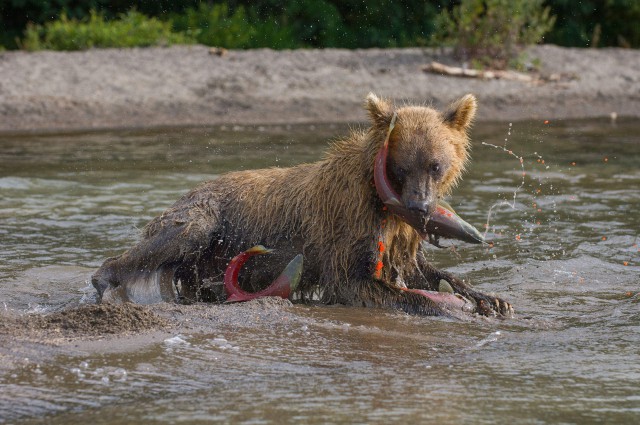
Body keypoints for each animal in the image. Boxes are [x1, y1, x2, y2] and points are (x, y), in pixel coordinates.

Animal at [92, 94, 516, 316]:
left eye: (435, 164)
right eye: (400, 167)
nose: (420, 207)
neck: (380, 200)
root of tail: (190, 190)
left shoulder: (398, 236)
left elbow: (419, 270)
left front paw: (490, 299)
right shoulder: (347, 225)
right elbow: (359, 282)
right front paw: (449, 306)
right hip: (207, 216)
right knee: (170, 240)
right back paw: (104, 282)